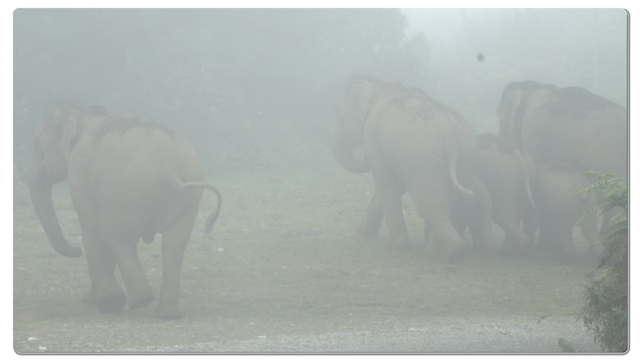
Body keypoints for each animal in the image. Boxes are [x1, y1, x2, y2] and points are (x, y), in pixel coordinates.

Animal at [28, 100, 222, 320]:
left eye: (36, 144)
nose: (76, 250)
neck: (85, 114)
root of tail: (169, 168)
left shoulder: (78, 174)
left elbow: (90, 224)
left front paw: (97, 300)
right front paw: (91, 299)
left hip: (128, 191)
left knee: (116, 238)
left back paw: (131, 301)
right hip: (188, 198)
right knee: (173, 245)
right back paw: (166, 314)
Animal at [332, 76, 478, 262]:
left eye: (336, 110)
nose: (364, 157)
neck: (382, 86)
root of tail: (450, 134)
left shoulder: (372, 136)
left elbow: (386, 184)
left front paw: (396, 246)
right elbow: (390, 186)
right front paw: (362, 231)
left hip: (424, 160)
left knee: (429, 201)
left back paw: (454, 249)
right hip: (464, 157)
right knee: (448, 200)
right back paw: (437, 249)